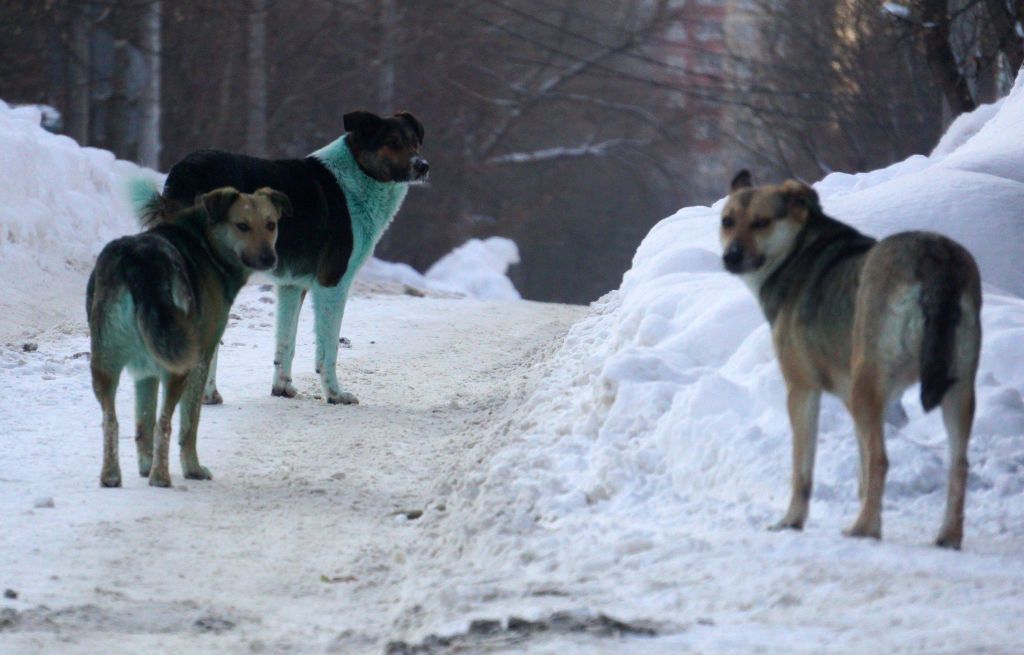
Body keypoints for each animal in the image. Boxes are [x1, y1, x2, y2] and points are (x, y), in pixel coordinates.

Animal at [156, 111, 428, 405]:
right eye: (392, 142)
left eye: (415, 142)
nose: (423, 166)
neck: (358, 176)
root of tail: (186, 170)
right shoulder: (332, 283)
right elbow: (328, 348)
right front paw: (335, 393)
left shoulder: (291, 285)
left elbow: (286, 342)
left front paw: (282, 388)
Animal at [716, 168, 978, 548]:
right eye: (727, 221)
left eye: (761, 222)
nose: (730, 257)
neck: (797, 251)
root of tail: (935, 258)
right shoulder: (855, 400)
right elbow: (862, 470)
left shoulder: (802, 389)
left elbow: (804, 470)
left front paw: (791, 521)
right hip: (957, 385)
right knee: (958, 465)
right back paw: (947, 536)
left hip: (869, 382)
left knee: (883, 459)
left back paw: (864, 529)